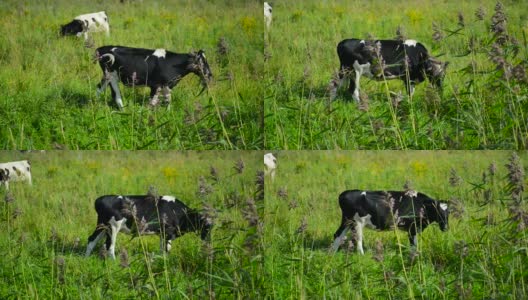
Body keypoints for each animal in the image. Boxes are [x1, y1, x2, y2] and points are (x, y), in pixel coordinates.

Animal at [84, 193, 212, 258]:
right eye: (206, 227)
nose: (209, 243)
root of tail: (100, 199)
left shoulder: (162, 234)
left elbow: (162, 249)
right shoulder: (168, 233)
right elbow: (166, 250)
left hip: (102, 226)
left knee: (91, 239)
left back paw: (86, 258)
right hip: (113, 226)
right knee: (109, 246)